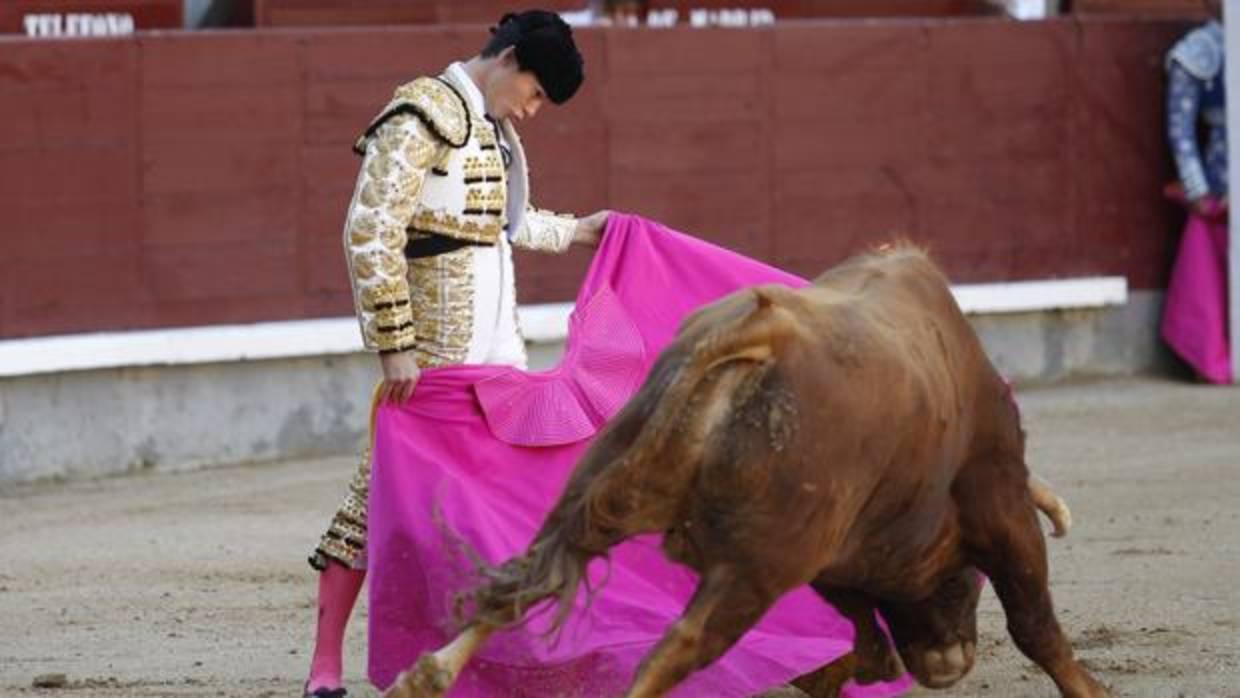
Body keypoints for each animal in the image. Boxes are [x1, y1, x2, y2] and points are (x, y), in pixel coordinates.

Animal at [386, 245, 1106, 698]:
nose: (946, 664)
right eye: (964, 581)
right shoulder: (1002, 509)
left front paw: (846, 671)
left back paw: (421, 679)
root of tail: (750, 338)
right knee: (675, 649)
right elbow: (1035, 625)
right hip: (753, 570)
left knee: (529, 579)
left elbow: (859, 619)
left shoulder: (828, 551)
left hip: (609, 491)